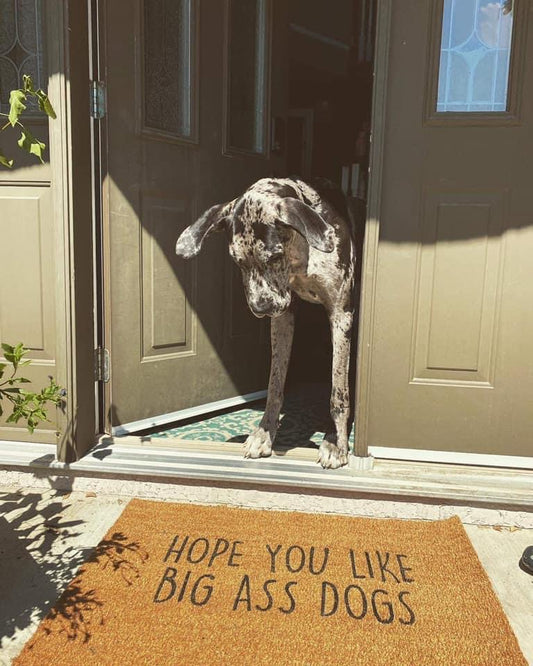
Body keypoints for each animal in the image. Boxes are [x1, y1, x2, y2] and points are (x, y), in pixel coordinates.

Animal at [175, 176, 356, 466]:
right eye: (238, 262)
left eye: (274, 256)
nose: (261, 308)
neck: (301, 255)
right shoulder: (282, 318)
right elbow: (274, 384)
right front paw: (265, 433)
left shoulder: (341, 314)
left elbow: (338, 391)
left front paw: (336, 443)